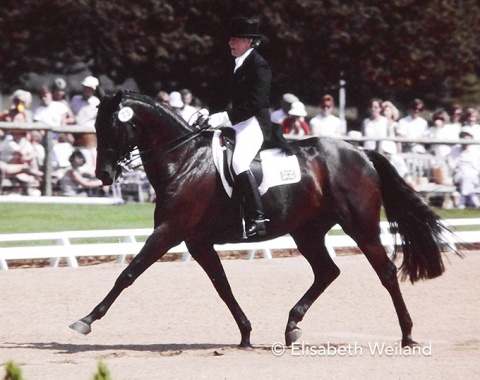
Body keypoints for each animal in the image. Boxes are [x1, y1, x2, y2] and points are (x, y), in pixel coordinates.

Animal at [68, 89, 454, 348]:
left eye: (112, 127)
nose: (103, 175)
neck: (183, 159)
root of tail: (360, 151)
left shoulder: (168, 231)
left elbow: (127, 274)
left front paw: (85, 320)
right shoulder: (196, 241)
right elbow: (222, 287)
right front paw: (245, 333)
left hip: (359, 225)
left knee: (386, 272)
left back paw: (407, 335)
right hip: (307, 231)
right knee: (327, 271)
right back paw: (292, 326)